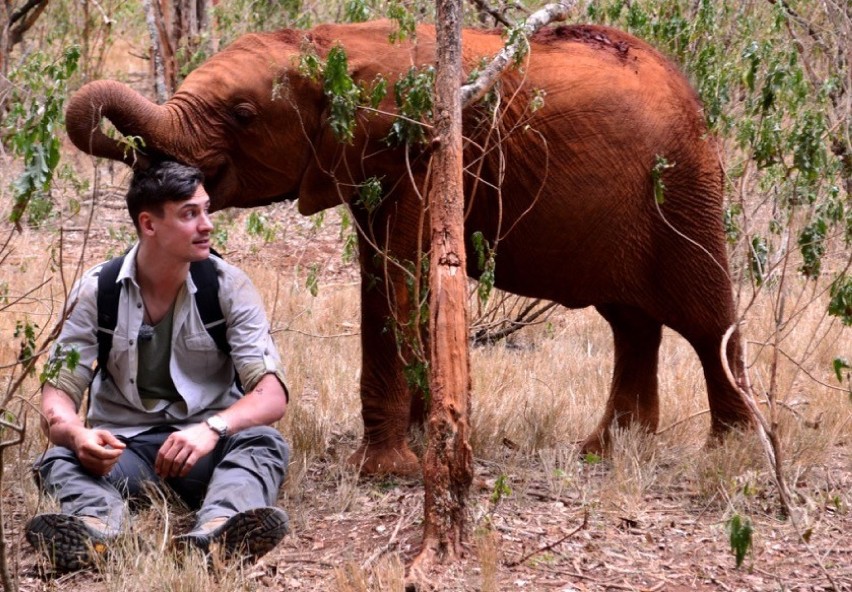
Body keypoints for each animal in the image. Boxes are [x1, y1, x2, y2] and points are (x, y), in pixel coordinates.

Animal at [68, 18, 760, 476]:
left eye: (242, 113)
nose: (148, 165)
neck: (340, 42)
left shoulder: (417, 153)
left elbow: (394, 275)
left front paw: (386, 469)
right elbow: (398, 274)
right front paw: (428, 438)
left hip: (684, 183)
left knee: (704, 319)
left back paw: (731, 452)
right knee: (631, 322)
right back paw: (608, 450)